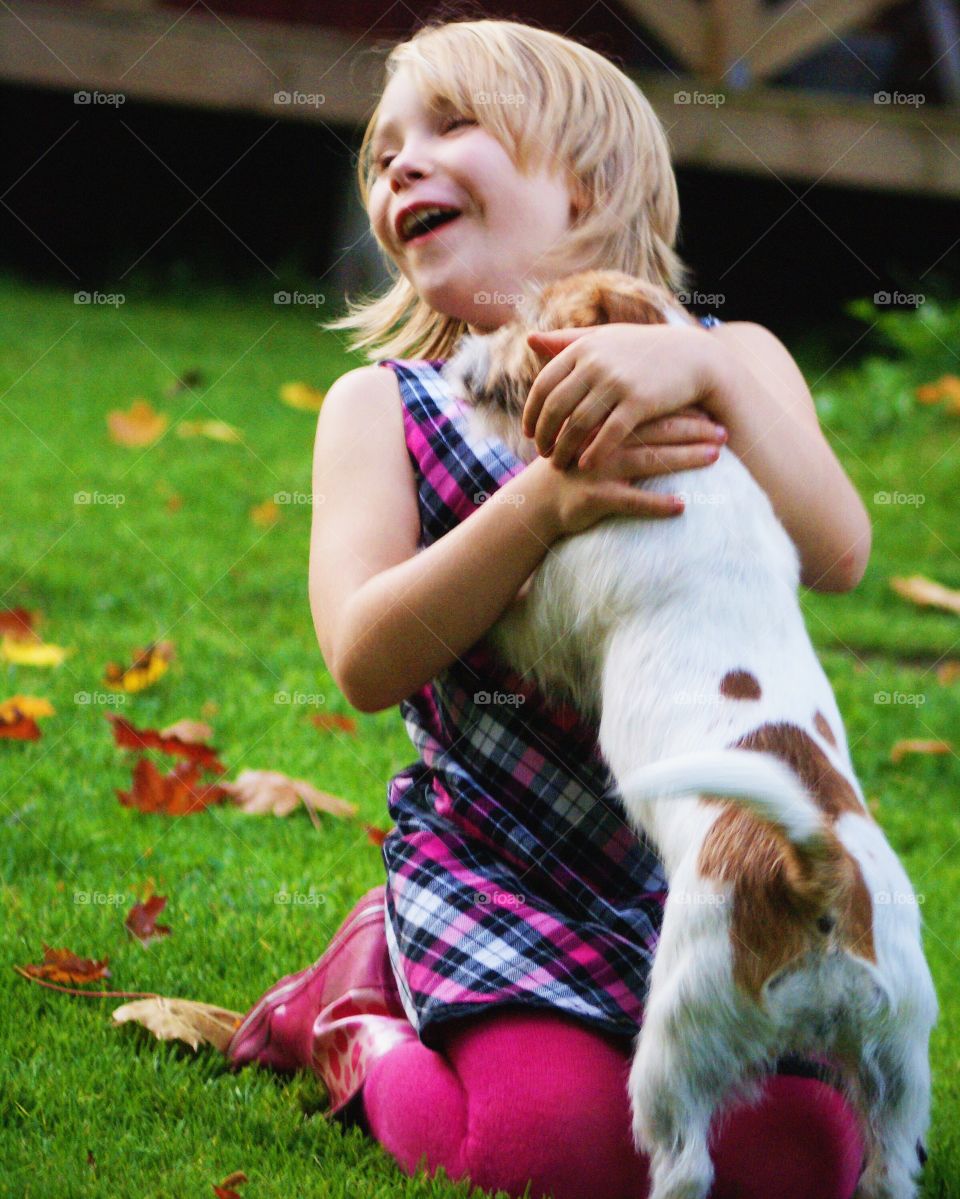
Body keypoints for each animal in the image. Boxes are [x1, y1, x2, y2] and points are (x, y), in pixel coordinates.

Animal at [441, 272, 934, 1199]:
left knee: (685, 1162)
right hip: (896, 1067)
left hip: (675, 1050)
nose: (458, 360)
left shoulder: (545, 609)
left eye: (527, 320)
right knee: (887, 1166)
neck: (674, 448)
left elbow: (513, 612)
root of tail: (815, 872)